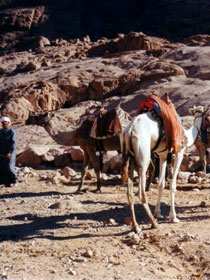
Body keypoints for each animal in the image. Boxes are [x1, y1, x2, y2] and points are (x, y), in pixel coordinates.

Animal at [120, 104, 204, 232]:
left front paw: (158, 213)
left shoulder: (163, 155)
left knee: (129, 193)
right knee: (141, 193)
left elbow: (161, 184)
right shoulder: (179, 153)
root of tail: (129, 131)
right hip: (143, 157)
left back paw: (136, 226)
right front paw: (173, 217)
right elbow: (173, 185)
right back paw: (154, 224)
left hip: (130, 158)